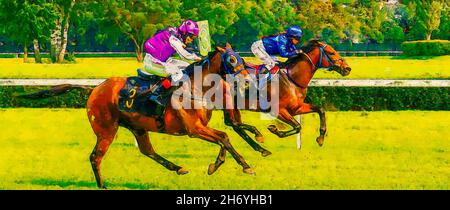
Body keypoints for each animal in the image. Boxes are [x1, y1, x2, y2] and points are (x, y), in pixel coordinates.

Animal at [20, 43, 256, 189]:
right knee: (96, 157)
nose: (246, 80)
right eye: (231, 59)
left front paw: (216, 165)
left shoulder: (200, 128)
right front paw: (246, 166)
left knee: (147, 151)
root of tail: (94, 89)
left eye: (241, 58)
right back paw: (103, 184)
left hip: (138, 128)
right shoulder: (194, 129)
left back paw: (178, 168)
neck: (196, 87)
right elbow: (224, 138)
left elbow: (223, 139)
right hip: (106, 130)